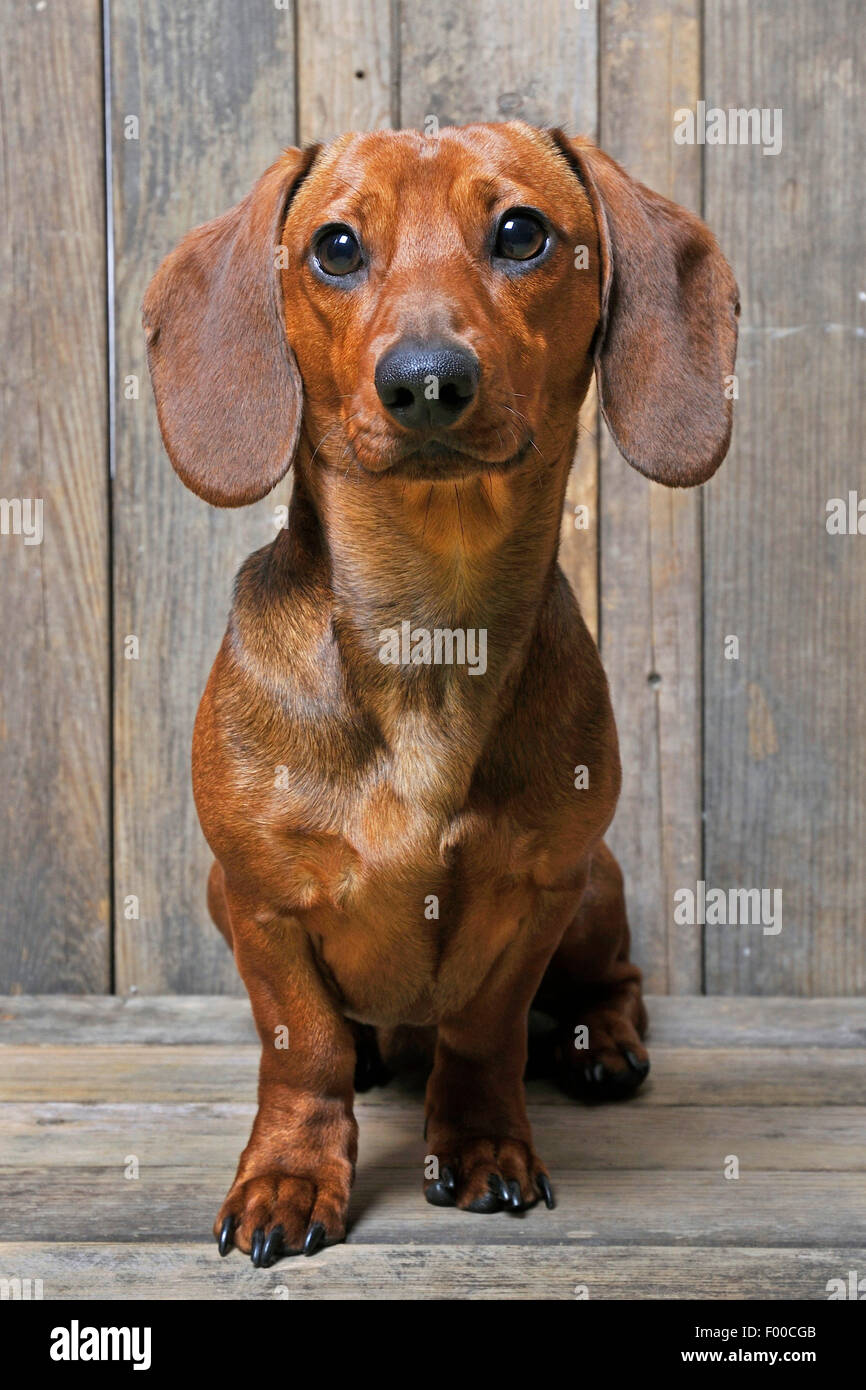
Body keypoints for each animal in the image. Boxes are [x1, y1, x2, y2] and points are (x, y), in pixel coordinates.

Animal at [142, 122, 739, 1273]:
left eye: (522, 232)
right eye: (334, 246)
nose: (425, 382)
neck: (431, 615)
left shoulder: (538, 895)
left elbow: (485, 1031)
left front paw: (481, 1144)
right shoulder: (260, 900)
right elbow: (303, 1048)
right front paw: (290, 1175)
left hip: (595, 888)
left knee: (618, 979)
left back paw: (605, 1045)